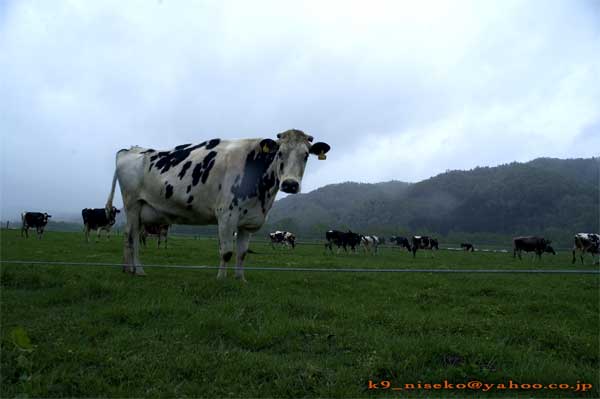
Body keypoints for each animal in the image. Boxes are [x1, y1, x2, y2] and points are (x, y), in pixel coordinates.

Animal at [105, 130, 330, 280]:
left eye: (306, 155)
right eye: (279, 153)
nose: (290, 184)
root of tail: (132, 149)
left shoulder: (248, 221)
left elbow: (242, 253)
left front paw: (240, 280)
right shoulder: (226, 214)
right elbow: (227, 251)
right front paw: (221, 279)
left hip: (141, 210)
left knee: (127, 235)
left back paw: (127, 269)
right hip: (133, 203)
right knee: (133, 238)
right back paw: (139, 270)